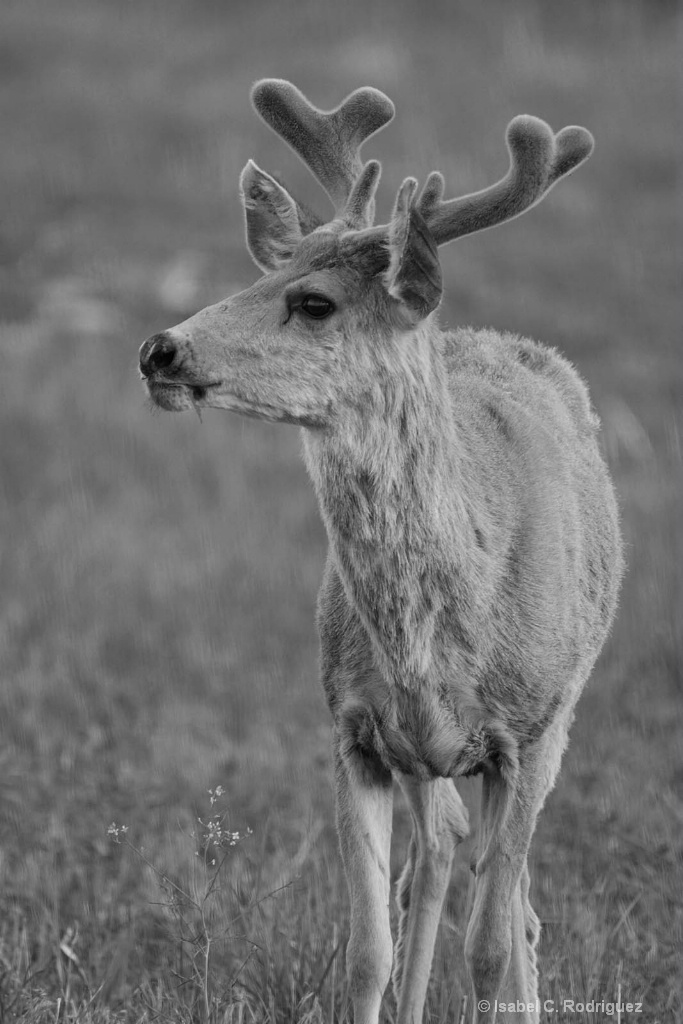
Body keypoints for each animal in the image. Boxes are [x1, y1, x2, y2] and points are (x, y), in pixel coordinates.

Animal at [139, 79, 626, 1024]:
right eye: (261, 275)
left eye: (314, 303)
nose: (159, 348)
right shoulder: (353, 732)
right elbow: (368, 947)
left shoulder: (527, 731)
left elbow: (488, 949)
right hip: (425, 759)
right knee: (434, 859)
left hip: (558, 717)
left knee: (514, 904)